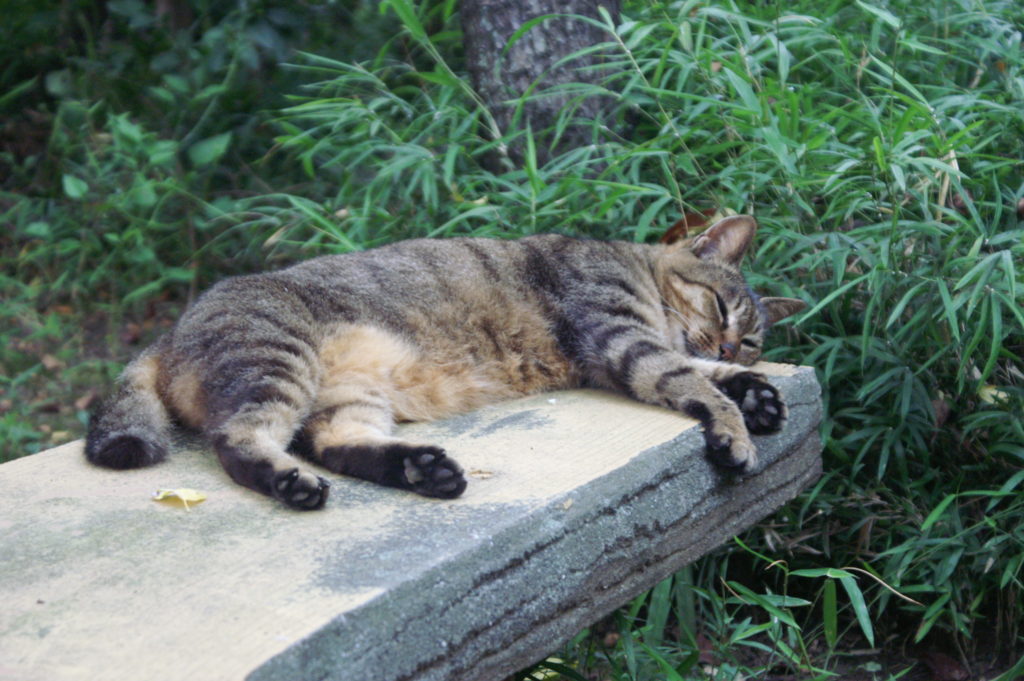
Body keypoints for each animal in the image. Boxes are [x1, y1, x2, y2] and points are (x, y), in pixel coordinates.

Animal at [86, 215, 806, 507]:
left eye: (751, 340)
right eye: (721, 306)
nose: (727, 345)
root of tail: (168, 334)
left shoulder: (626, 348)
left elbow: (705, 377)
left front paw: (755, 391)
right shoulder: (618, 337)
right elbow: (692, 381)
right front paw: (735, 425)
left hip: (348, 394)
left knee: (336, 442)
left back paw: (423, 469)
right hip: (278, 362)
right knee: (240, 441)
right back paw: (292, 484)